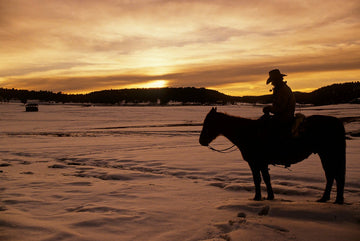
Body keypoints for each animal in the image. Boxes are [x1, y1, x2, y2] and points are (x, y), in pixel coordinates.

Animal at [200, 107, 346, 203]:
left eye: (208, 122)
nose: (201, 141)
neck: (247, 132)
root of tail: (337, 122)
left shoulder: (255, 162)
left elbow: (257, 179)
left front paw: (257, 197)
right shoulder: (262, 163)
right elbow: (266, 178)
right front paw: (270, 196)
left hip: (328, 154)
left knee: (333, 175)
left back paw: (332, 199)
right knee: (332, 175)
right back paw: (327, 198)